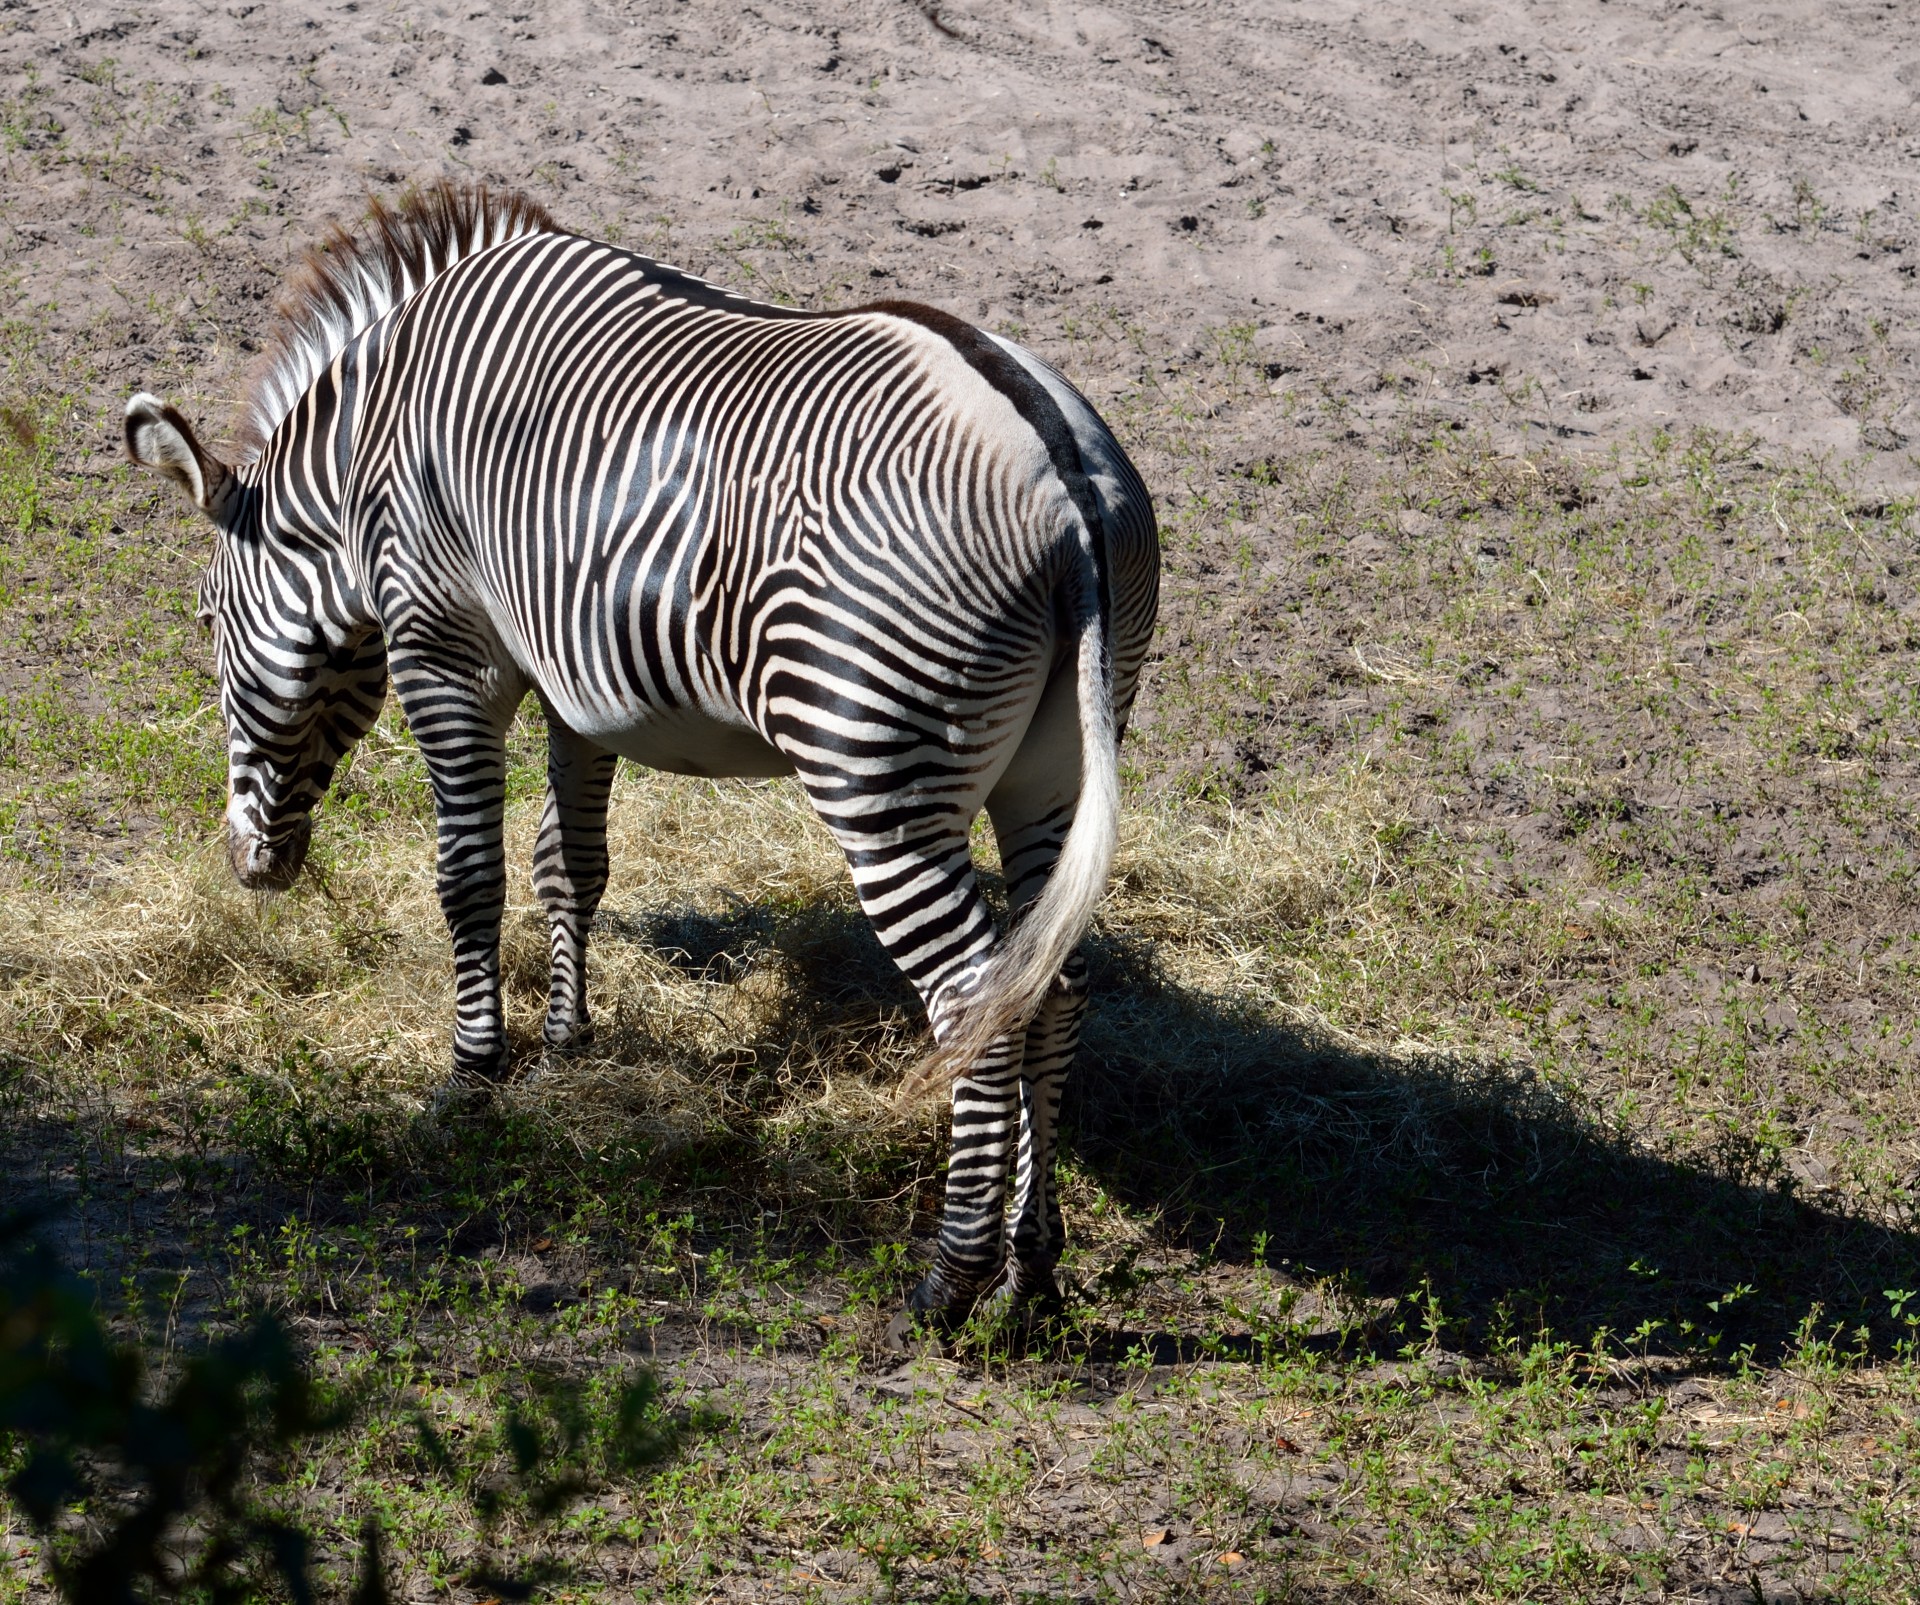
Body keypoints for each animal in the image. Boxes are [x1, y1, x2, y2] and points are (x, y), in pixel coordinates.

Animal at [135, 181, 1159, 1328]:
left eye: (211, 621)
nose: (249, 869)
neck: (367, 445)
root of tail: (1063, 480)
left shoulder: (443, 646)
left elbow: (470, 873)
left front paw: (471, 1072)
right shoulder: (576, 682)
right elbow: (568, 865)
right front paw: (564, 1045)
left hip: (878, 769)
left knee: (974, 996)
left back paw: (949, 1279)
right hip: (1051, 770)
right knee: (1048, 986)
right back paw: (1030, 1276)